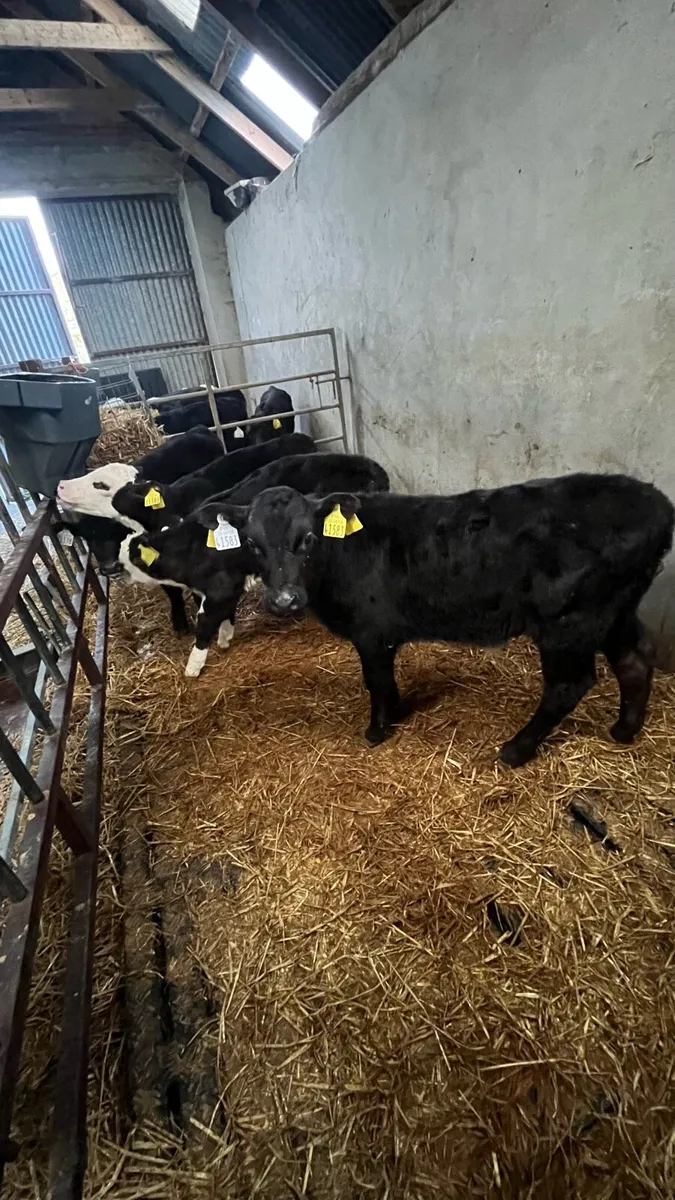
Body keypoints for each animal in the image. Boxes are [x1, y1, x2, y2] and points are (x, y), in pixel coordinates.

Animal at [198, 473, 674, 765]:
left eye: (309, 538)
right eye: (253, 544)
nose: (284, 600)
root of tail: (656, 504)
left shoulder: (370, 631)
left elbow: (376, 681)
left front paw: (378, 729)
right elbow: (387, 681)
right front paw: (398, 711)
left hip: (569, 623)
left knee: (568, 685)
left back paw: (516, 749)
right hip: (613, 612)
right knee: (635, 658)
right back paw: (624, 729)